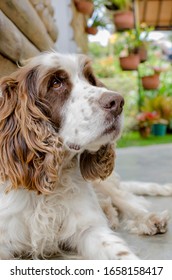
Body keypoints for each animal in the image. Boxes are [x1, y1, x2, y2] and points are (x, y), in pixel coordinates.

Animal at [0, 51, 171, 260]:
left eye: (90, 79)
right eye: (55, 83)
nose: (118, 102)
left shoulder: (89, 229)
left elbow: (121, 254)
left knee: (127, 201)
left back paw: (148, 218)